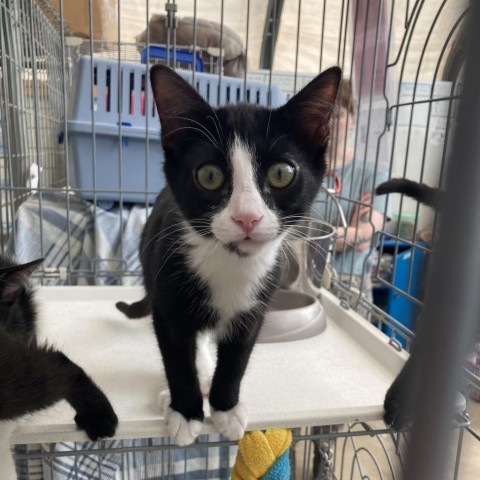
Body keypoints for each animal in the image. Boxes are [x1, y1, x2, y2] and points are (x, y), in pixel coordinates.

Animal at [116, 64, 342, 446]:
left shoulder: (254, 309)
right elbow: (176, 357)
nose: (247, 217)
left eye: (282, 173)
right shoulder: (167, 301)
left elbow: (237, 358)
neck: (231, 262)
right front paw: (186, 411)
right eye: (209, 175)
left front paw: (225, 407)